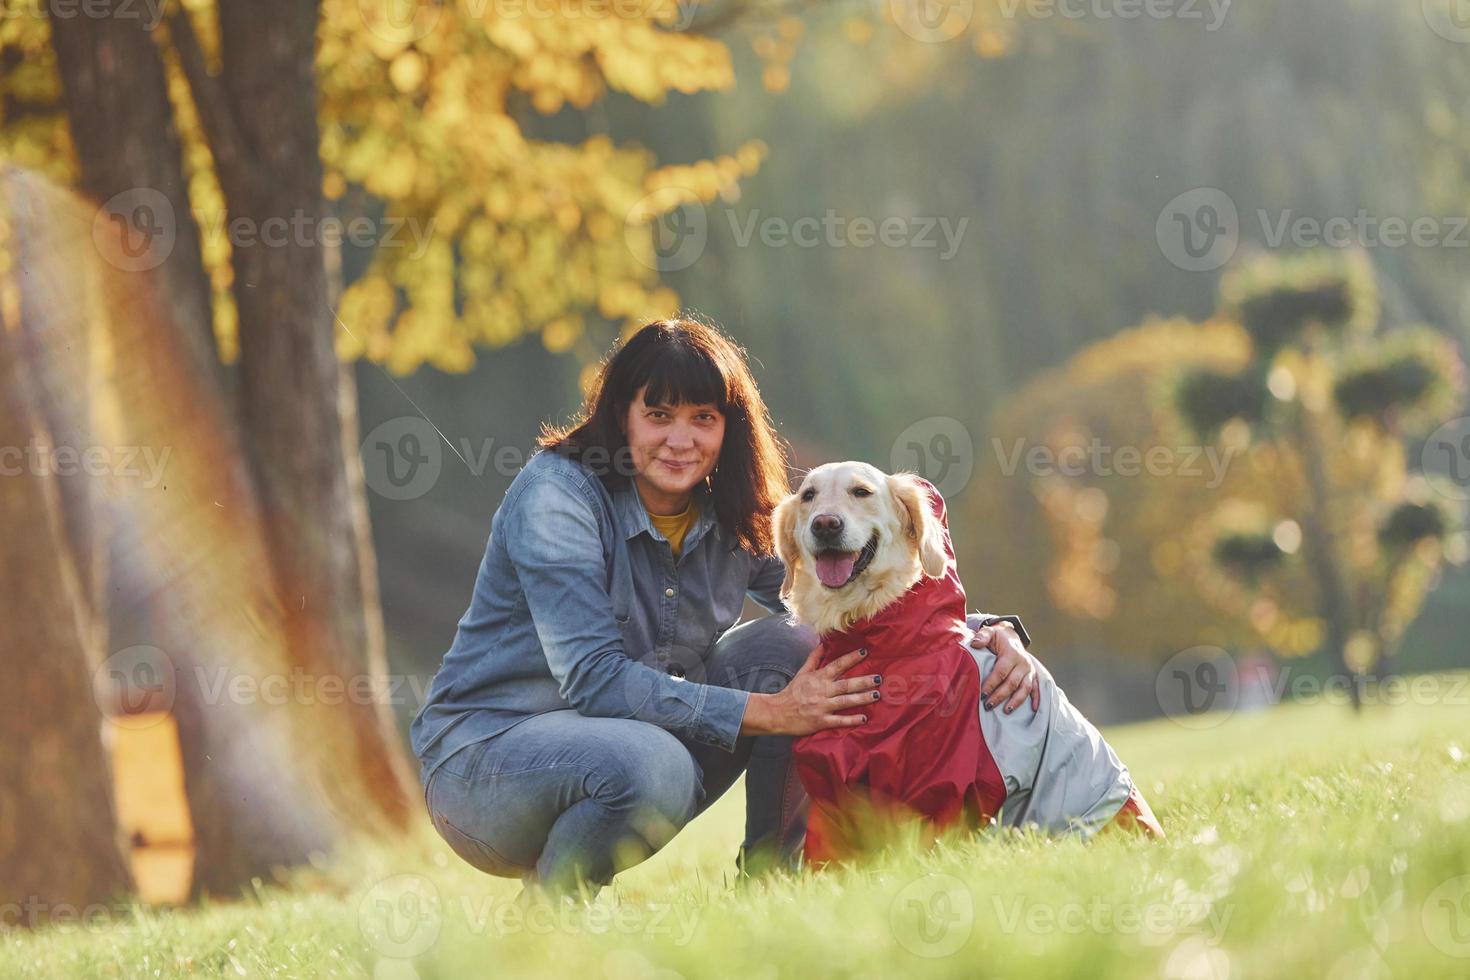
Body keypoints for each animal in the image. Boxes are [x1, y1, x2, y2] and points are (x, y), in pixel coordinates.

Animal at [770, 464, 1158, 863]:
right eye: (808, 496)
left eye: (861, 492)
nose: (825, 524)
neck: (881, 645)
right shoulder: (831, 796)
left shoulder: (942, 785)